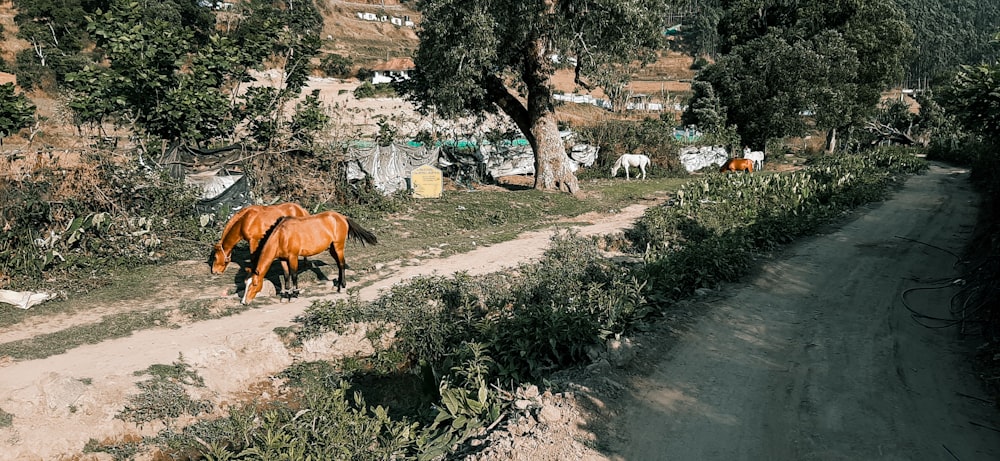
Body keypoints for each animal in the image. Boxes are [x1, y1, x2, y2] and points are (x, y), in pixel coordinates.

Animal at [242, 210, 378, 304]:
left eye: (254, 284)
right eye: (245, 284)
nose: (244, 302)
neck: (281, 236)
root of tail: (342, 217)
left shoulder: (293, 257)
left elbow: (294, 275)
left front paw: (294, 295)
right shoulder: (283, 259)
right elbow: (286, 277)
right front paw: (285, 296)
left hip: (338, 246)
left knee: (342, 264)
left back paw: (342, 286)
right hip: (332, 249)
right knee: (339, 265)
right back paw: (338, 285)